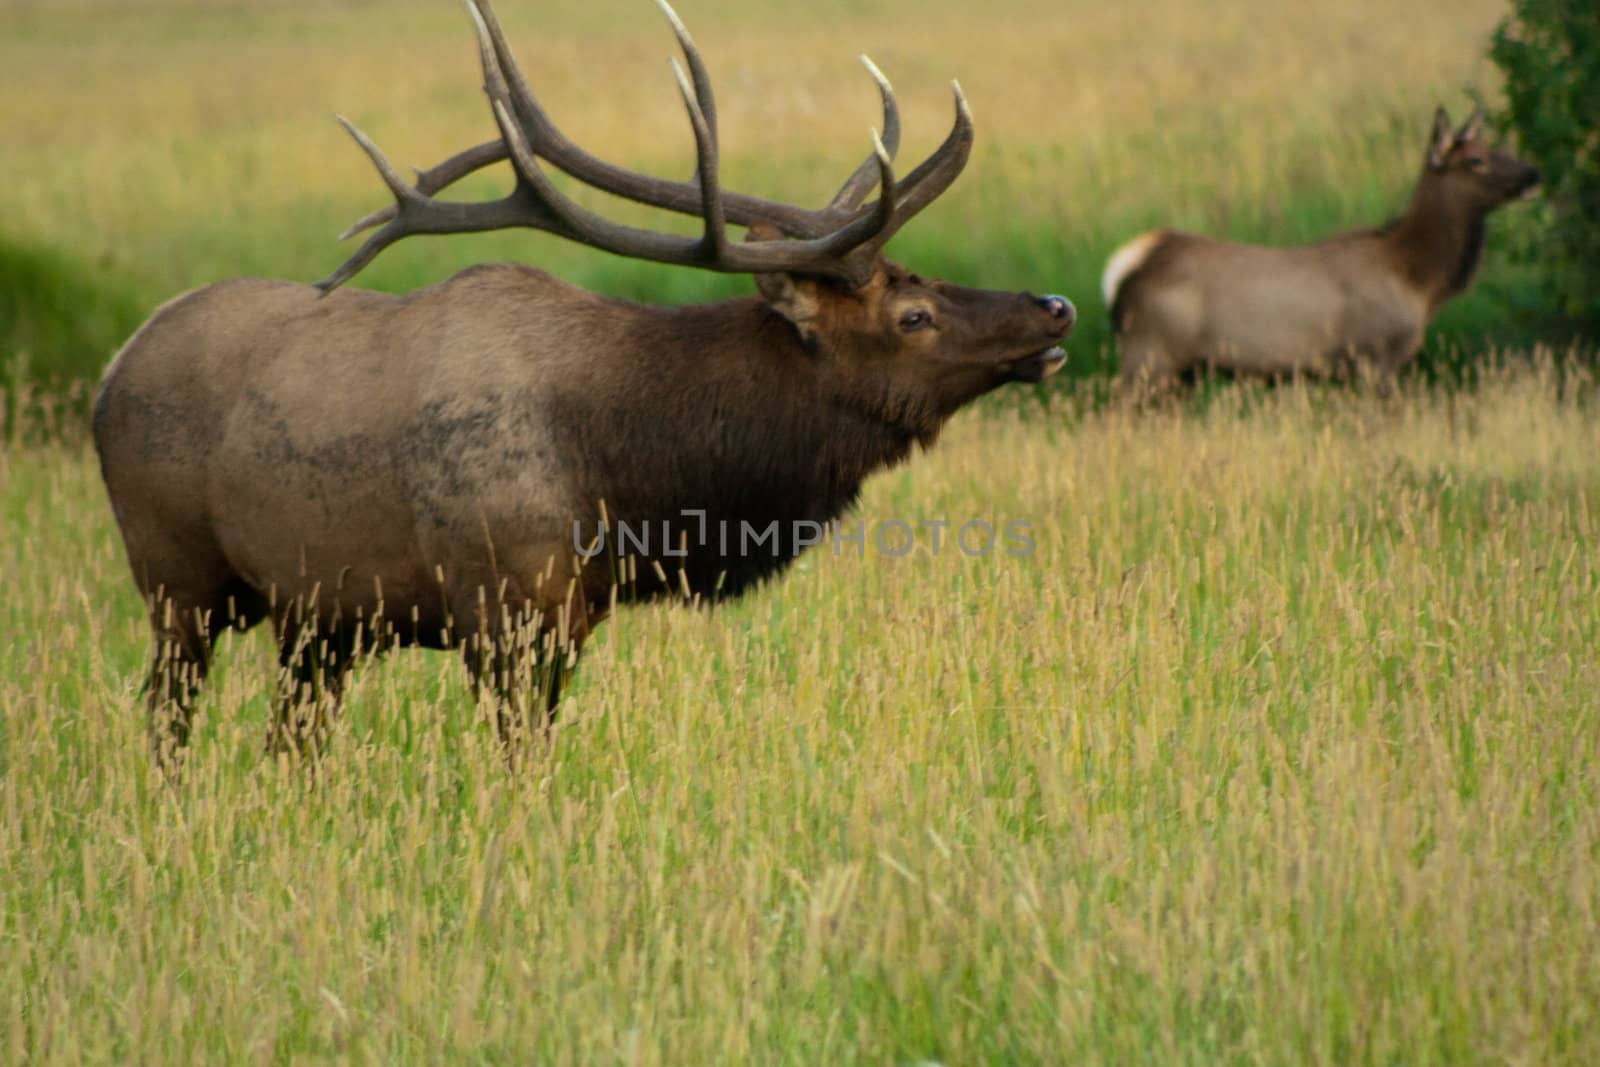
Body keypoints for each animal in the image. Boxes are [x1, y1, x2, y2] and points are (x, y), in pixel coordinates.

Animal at [93, 2, 1081, 767]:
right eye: (912, 315)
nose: (1056, 306)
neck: (627, 477)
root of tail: (111, 369)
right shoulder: (501, 606)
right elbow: (518, 762)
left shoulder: (571, 616)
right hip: (175, 581)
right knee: (166, 722)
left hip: (313, 620)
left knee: (290, 743)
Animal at [1100, 108, 1536, 395]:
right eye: (1476, 160)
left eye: (1494, 146)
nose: (1535, 173)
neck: (1418, 279)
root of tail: (1122, 269)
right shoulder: (1372, 358)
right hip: (1148, 357)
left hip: (1178, 372)